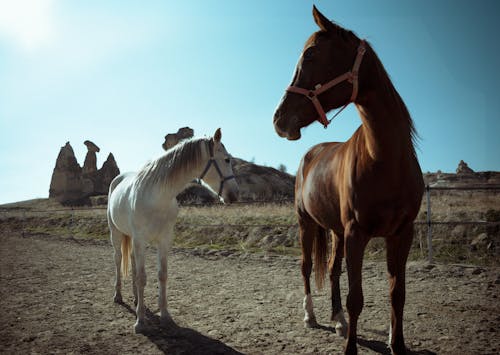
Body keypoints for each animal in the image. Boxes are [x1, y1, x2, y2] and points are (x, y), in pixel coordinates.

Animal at [107, 129, 238, 334]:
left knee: (134, 264)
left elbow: (162, 275)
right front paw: (140, 322)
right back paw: (118, 296)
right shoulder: (140, 239)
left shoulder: (164, 240)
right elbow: (142, 277)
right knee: (118, 259)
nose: (235, 195)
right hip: (117, 235)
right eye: (226, 159)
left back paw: (136, 299)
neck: (157, 197)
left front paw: (165, 316)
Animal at [272, 5, 424, 355]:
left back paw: (339, 321)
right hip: (306, 223)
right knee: (305, 266)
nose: (278, 119)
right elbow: (357, 299)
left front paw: (397, 344)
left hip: (336, 231)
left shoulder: (402, 233)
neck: (385, 159)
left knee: (332, 270)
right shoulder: (357, 233)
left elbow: (398, 293)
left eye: (310, 54)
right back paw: (311, 316)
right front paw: (351, 348)